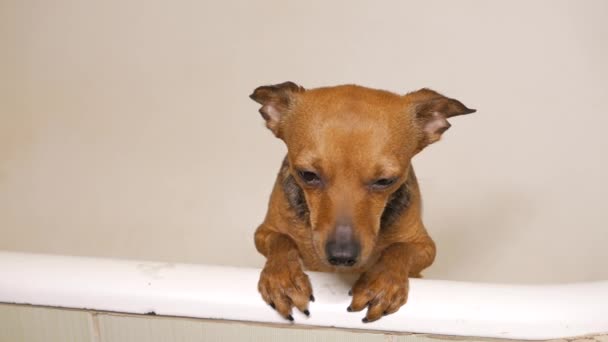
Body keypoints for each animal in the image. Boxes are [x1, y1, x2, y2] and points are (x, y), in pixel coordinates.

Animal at [248, 83, 476, 324]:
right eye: (307, 175)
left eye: (385, 181)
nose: (342, 256)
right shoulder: (263, 233)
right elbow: (281, 240)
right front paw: (284, 279)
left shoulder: (425, 247)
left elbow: (399, 248)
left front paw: (382, 283)